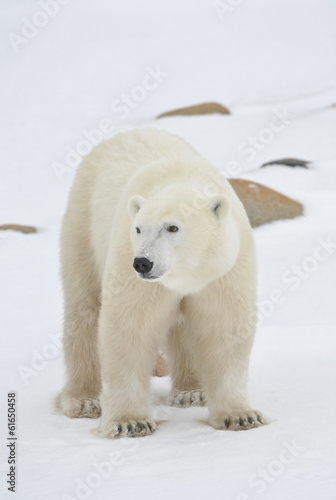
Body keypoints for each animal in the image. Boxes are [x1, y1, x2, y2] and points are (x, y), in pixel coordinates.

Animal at [56, 128, 270, 438]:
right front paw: (129, 422)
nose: (142, 263)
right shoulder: (130, 268)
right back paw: (84, 400)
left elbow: (224, 328)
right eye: (138, 228)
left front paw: (240, 416)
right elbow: (129, 327)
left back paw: (191, 392)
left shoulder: (222, 272)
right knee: (83, 309)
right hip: (82, 222)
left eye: (172, 227)